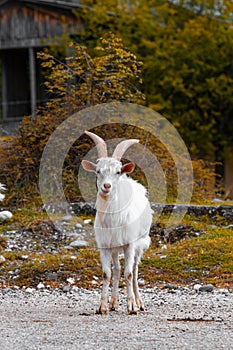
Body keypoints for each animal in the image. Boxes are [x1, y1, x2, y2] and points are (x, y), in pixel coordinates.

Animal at [82, 131, 153, 314]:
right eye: (98, 171)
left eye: (118, 171)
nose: (106, 186)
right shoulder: (105, 246)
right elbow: (107, 274)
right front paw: (102, 307)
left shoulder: (130, 244)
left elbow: (129, 274)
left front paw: (132, 307)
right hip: (115, 248)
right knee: (117, 269)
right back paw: (113, 303)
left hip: (141, 242)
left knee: (134, 270)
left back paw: (139, 302)